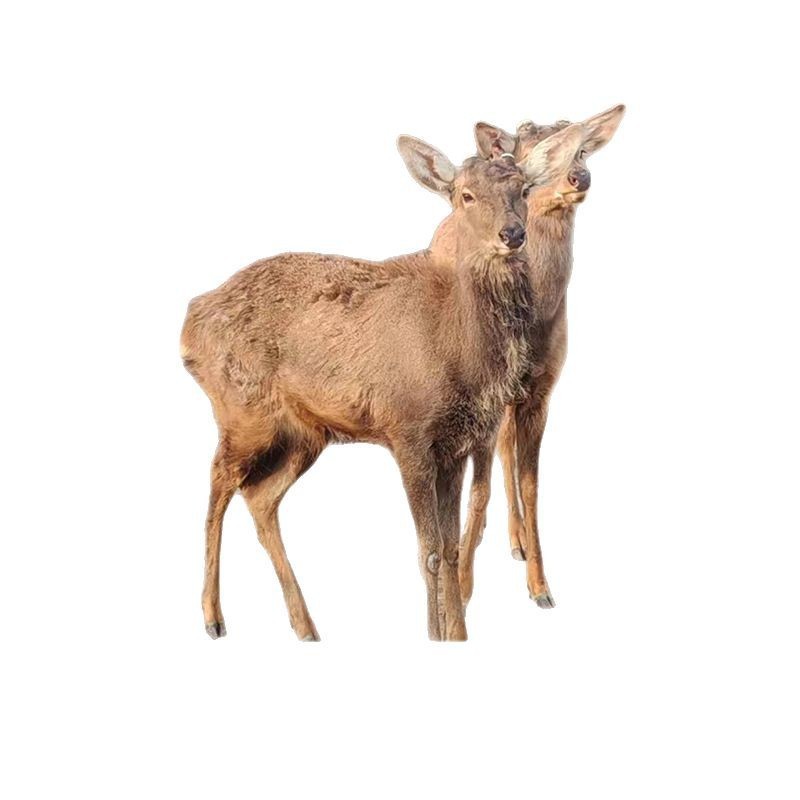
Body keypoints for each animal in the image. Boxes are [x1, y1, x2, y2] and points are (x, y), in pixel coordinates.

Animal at [180, 137, 535, 642]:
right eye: (465, 195)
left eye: (523, 189)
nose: (512, 234)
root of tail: (188, 325)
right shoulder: (408, 430)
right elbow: (429, 552)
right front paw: (435, 635)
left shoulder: (457, 444)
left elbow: (450, 548)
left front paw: (458, 634)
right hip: (242, 411)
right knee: (217, 484)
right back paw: (213, 617)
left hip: (305, 433)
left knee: (260, 497)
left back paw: (306, 626)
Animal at [426, 105, 626, 609]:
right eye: (529, 153)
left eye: (582, 149)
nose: (579, 176)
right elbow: (478, 491)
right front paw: (463, 586)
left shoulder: (542, 391)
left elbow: (531, 483)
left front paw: (541, 586)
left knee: (507, 450)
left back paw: (514, 541)